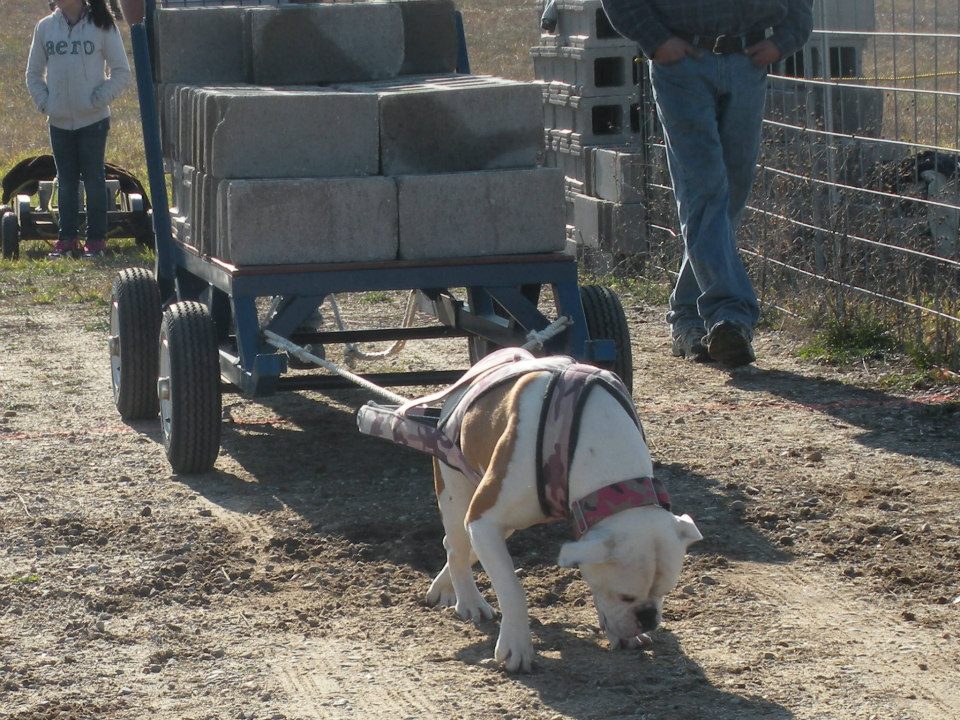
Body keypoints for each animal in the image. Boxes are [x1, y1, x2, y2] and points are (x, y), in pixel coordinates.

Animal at [402, 352, 700, 672]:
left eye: (664, 593)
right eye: (625, 595)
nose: (648, 618)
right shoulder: (484, 520)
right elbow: (512, 589)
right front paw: (516, 645)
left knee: (461, 548)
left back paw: (444, 587)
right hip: (456, 495)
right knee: (457, 549)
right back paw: (470, 601)